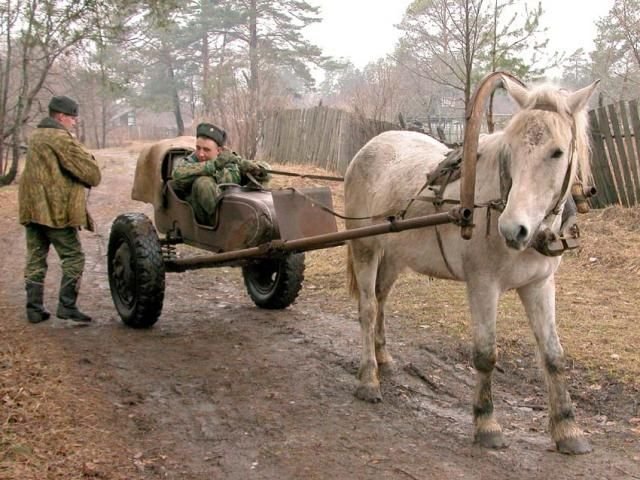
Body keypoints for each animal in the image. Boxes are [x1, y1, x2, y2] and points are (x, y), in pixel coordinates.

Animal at [344, 78, 600, 454]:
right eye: (511, 150)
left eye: (557, 152)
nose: (513, 229)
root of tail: (369, 147)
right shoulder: (483, 285)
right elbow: (485, 354)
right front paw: (486, 422)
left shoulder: (539, 285)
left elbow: (553, 355)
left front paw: (568, 429)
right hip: (365, 246)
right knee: (367, 309)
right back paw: (368, 379)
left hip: (393, 256)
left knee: (381, 300)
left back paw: (384, 359)